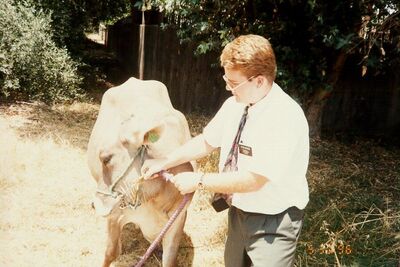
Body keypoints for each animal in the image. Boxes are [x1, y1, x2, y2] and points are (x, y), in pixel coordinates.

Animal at [87, 77, 194, 267]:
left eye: (106, 158)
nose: (94, 204)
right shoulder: (117, 214)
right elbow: (111, 253)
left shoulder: (178, 219)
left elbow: (170, 258)